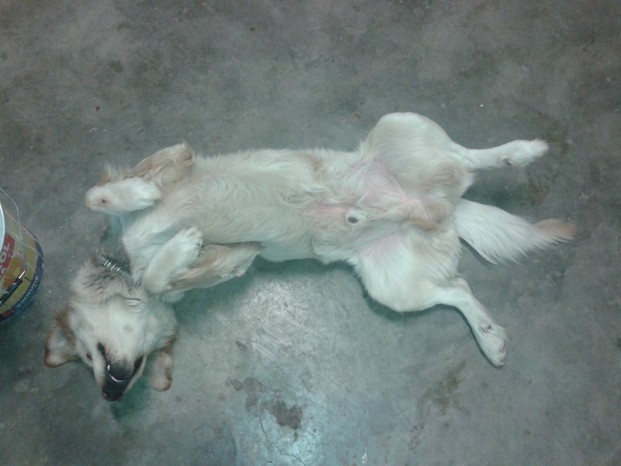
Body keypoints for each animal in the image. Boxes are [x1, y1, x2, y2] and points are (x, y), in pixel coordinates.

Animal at [44, 112, 574, 401]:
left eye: (89, 355)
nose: (112, 392)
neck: (124, 261)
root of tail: (447, 205)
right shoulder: (227, 263)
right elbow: (171, 276)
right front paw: (184, 253)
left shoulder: (167, 166)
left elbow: (102, 193)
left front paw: (143, 194)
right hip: (393, 286)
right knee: (457, 285)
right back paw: (490, 336)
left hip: (400, 126)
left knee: (467, 157)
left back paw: (521, 152)